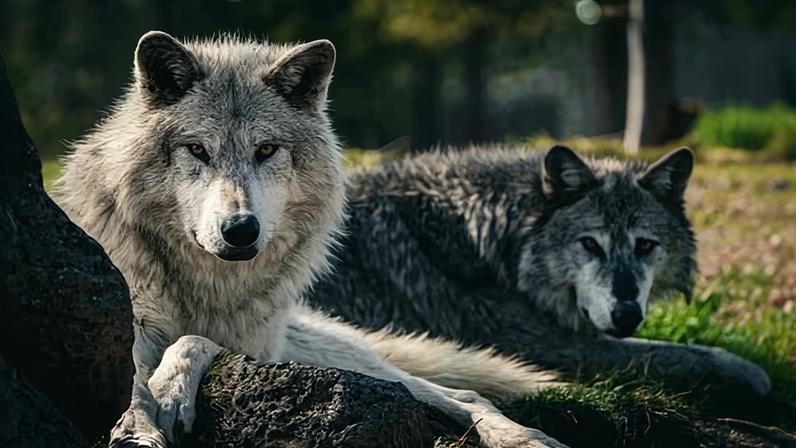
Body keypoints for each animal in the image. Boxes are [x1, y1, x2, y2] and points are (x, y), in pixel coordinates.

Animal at [54, 31, 568, 448]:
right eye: (198, 149)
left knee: (463, 394)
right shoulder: (129, 321)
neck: (206, 286)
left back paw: (525, 438)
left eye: (266, 150)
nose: (240, 229)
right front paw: (139, 425)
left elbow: (193, 340)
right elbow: (133, 378)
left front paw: (169, 392)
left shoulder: (256, 345)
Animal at [308, 146, 772, 396]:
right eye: (590, 244)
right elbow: (681, 352)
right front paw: (751, 373)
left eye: (644, 246)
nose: (626, 315)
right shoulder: (548, 345)